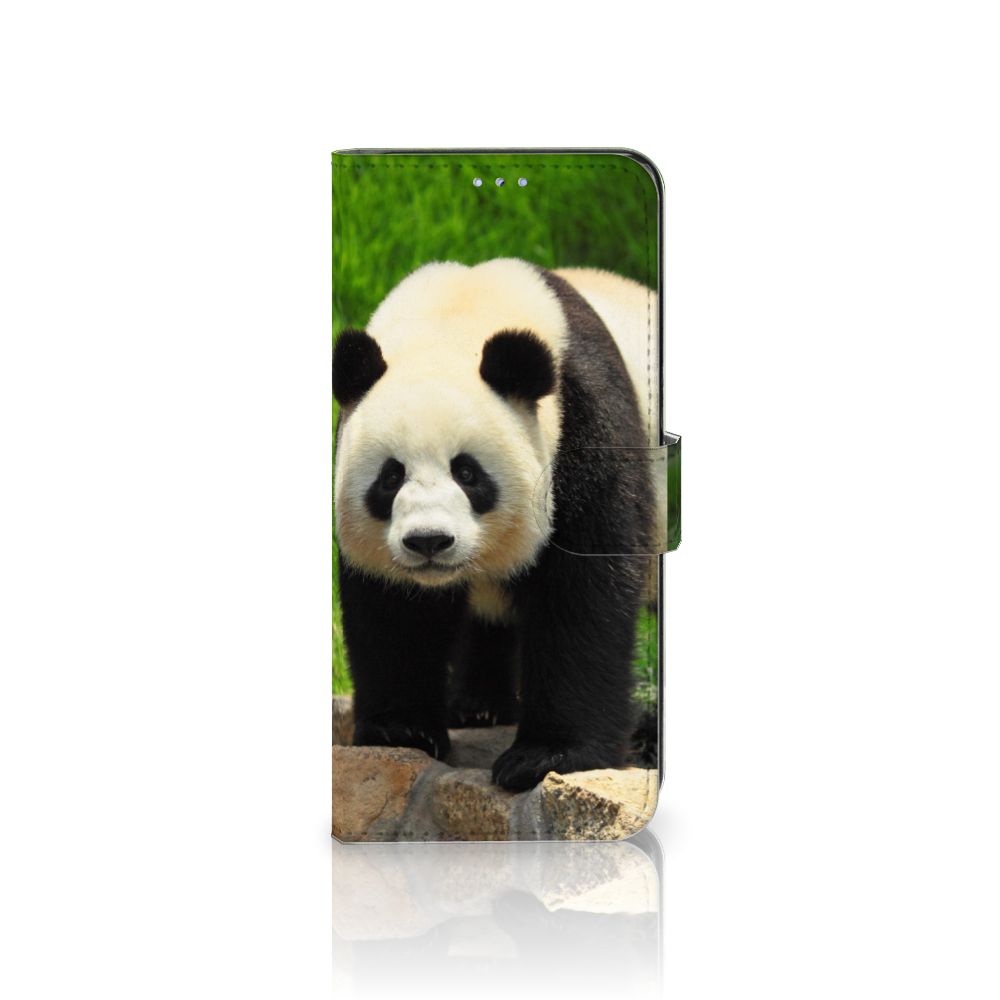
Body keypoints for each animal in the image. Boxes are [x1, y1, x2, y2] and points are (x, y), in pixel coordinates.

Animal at [333, 258, 658, 792]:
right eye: (390, 476)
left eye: (467, 473)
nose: (429, 541)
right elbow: (393, 609)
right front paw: (401, 731)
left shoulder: (585, 426)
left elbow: (584, 592)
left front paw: (546, 756)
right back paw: (479, 707)